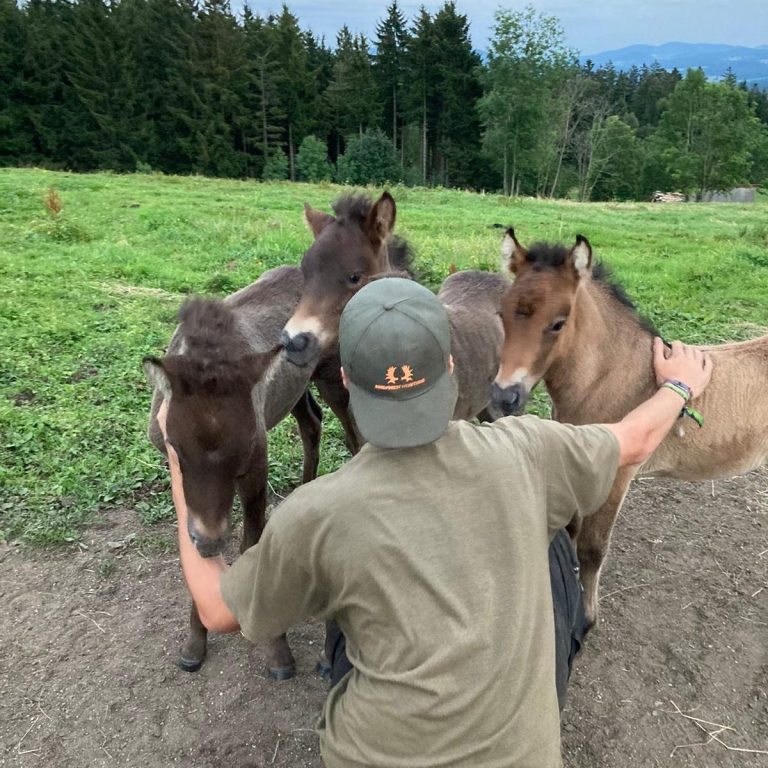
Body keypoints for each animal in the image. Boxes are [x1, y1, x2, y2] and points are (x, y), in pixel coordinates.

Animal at [144, 265, 356, 679]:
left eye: (243, 449)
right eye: (174, 445)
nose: (210, 539)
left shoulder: (257, 467)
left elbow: (250, 546)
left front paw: (278, 652)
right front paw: (194, 645)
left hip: (331, 375)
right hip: (296, 389)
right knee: (311, 420)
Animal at [491, 229, 768, 626]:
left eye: (558, 323)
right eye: (502, 313)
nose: (505, 396)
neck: (607, 378)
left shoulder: (617, 472)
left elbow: (592, 546)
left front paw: (588, 615)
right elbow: (574, 529)